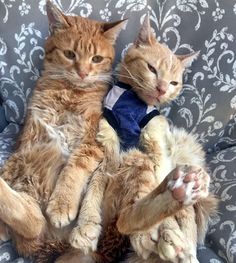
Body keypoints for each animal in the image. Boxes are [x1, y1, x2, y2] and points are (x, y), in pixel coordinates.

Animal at [0, 0, 127, 260]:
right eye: (69, 54)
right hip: (19, 166)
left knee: (33, 219)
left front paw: (62, 203)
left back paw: (84, 229)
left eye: (96, 58)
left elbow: (73, 170)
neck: (71, 90)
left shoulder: (91, 141)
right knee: (28, 217)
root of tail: (51, 245)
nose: (83, 72)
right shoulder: (33, 129)